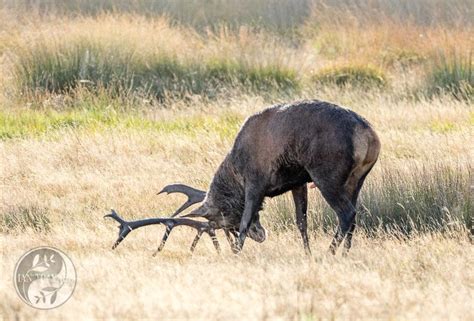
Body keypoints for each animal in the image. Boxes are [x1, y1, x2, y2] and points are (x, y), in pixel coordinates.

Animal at [105, 99, 380, 254]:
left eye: (224, 219)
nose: (262, 236)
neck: (235, 170)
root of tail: (369, 136)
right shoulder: (298, 182)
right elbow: (301, 222)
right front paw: (307, 253)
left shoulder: (256, 182)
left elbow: (247, 219)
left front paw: (237, 251)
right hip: (357, 179)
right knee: (354, 213)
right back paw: (344, 253)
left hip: (326, 174)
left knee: (347, 213)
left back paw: (330, 253)